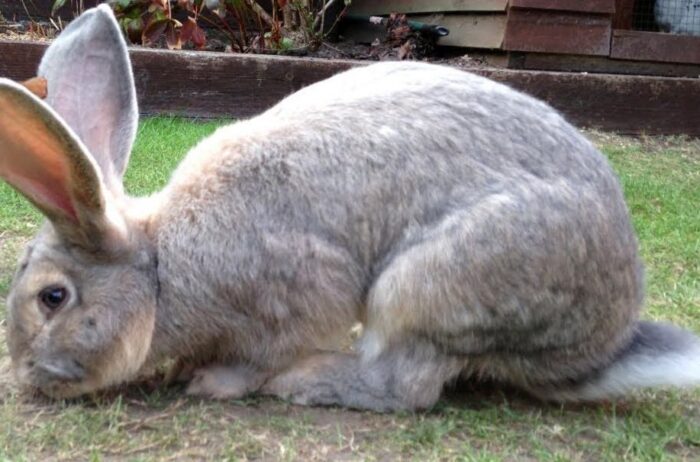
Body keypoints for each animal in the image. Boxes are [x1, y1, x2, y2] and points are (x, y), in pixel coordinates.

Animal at [1, 4, 700, 412]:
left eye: (53, 298)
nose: (29, 377)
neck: (161, 266)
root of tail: (601, 345)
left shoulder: (300, 290)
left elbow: (260, 353)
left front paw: (214, 380)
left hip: (429, 286)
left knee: (408, 388)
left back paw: (308, 383)